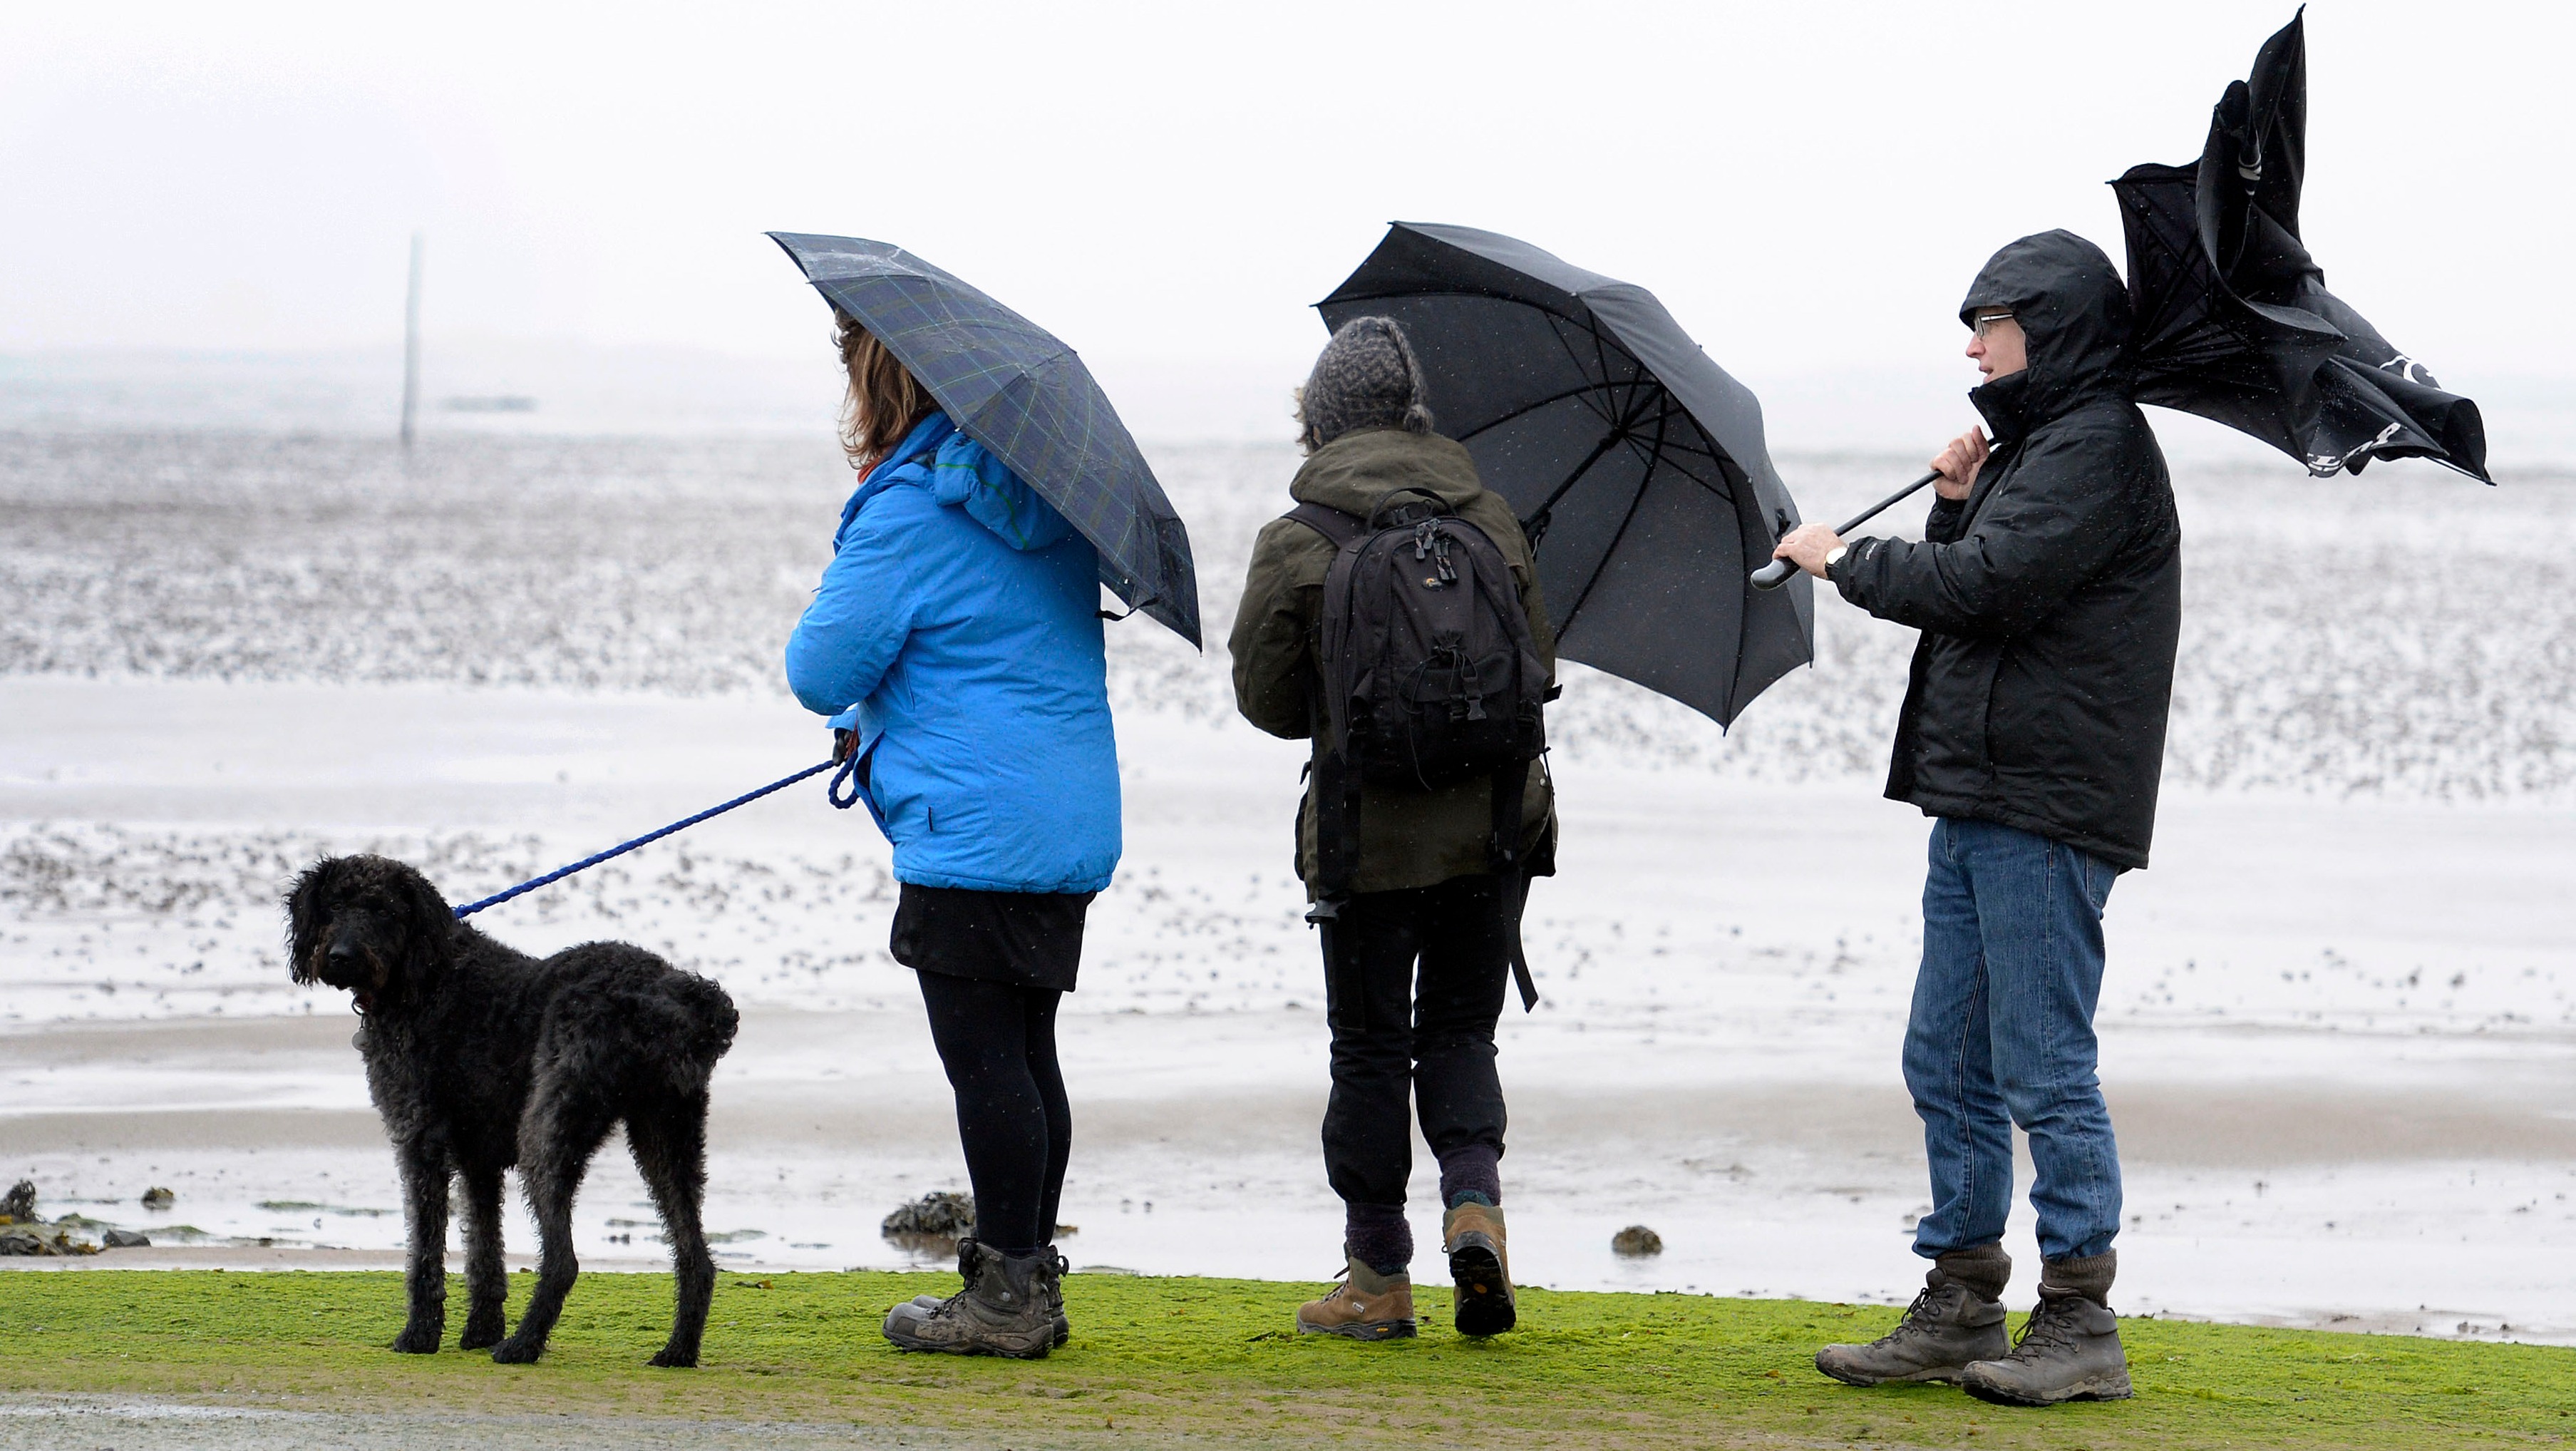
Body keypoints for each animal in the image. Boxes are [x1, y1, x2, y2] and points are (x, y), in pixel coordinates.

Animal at [286, 854, 739, 1366]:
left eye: (383, 909)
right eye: (334, 905)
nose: (340, 956)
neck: (425, 973)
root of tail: (679, 997)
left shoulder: (420, 1141)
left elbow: (425, 1249)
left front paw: (420, 1334)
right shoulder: (477, 1158)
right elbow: (485, 1248)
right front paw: (480, 1329)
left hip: (545, 1134)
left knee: (563, 1260)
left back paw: (523, 1344)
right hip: (667, 1135)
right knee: (696, 1257)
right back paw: (678, 1349)